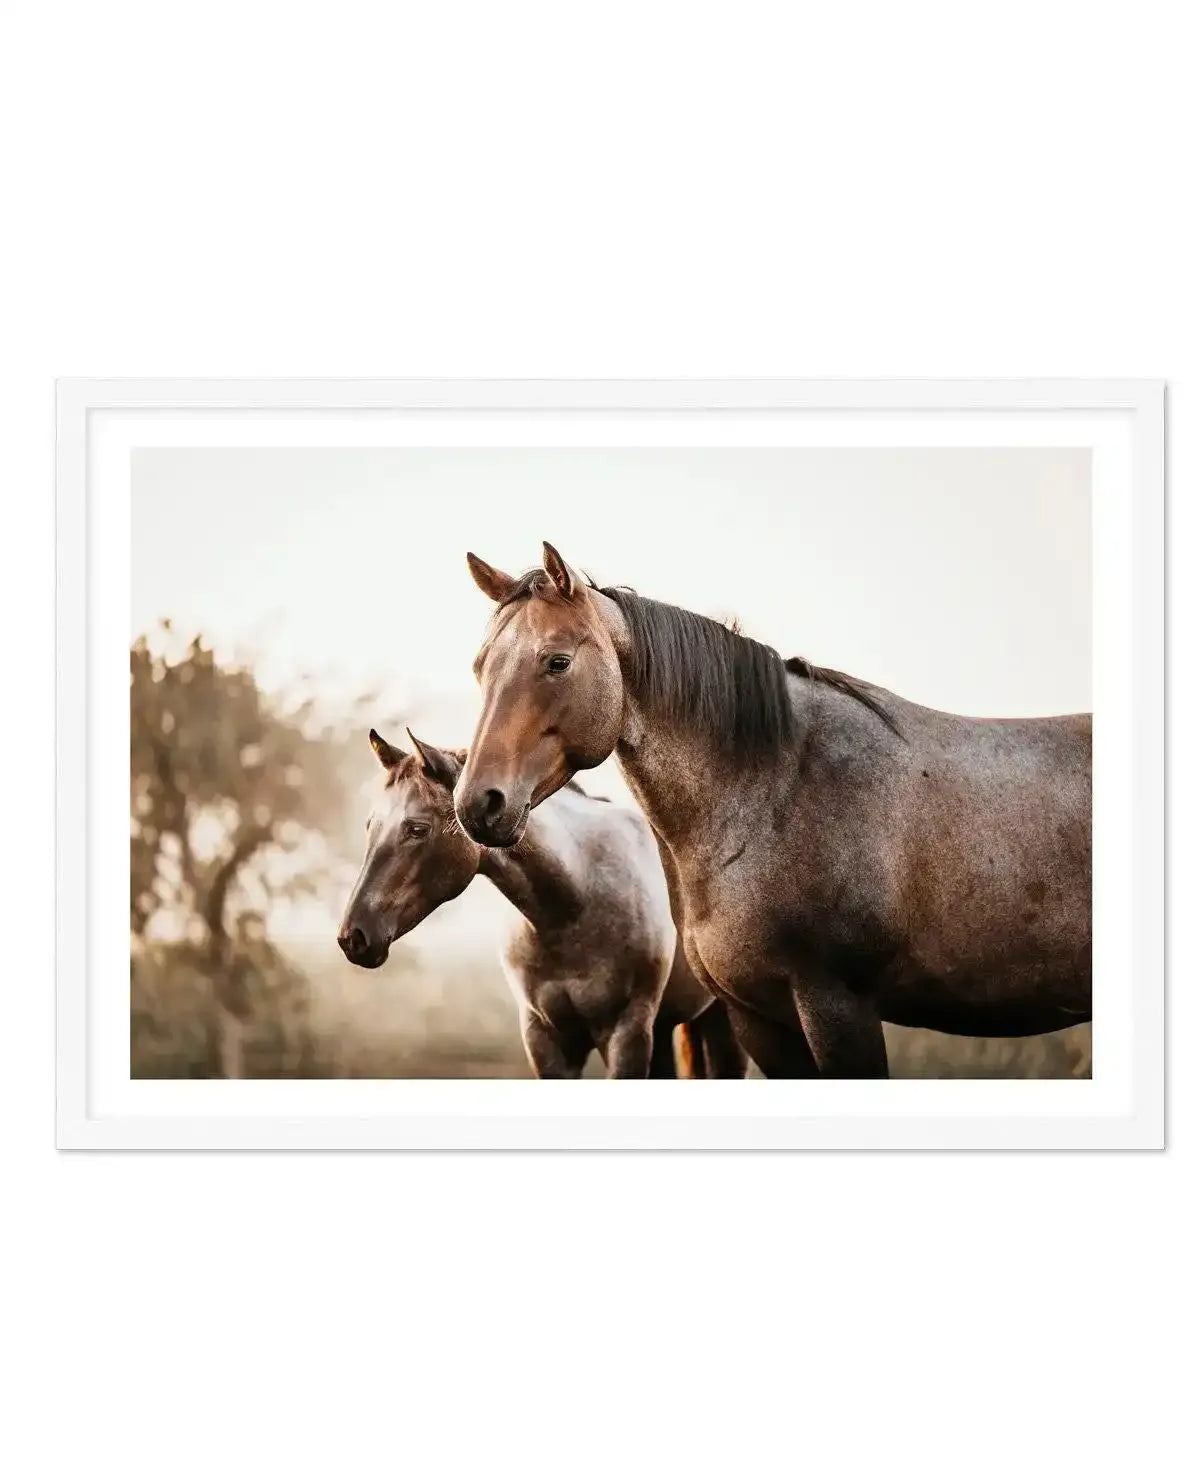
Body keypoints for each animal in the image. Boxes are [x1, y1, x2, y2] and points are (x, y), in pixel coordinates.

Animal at [337, 727, 746, 1079]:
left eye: (417, 829)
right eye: (370, 826)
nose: (353, 937)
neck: (574, 906)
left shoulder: (626, 1032)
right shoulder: (544, 1038)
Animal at [453, 542, 1092, 1078]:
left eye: (557, 662)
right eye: (480, 667)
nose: (478, 804)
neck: (775, 792)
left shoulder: (839, 1008)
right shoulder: (758, 1017)